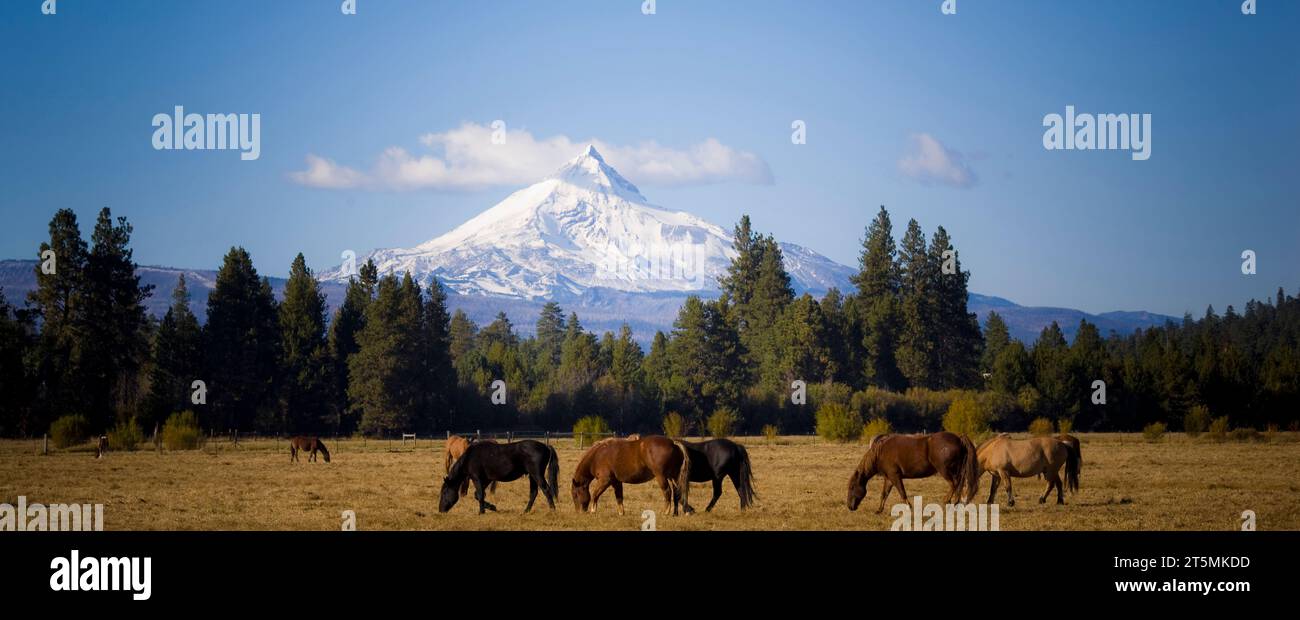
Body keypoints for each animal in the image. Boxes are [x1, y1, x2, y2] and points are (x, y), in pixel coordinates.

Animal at [847, 432, 979, 513]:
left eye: (852, 487)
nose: (850, 506)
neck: (880, 452)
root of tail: (959, 439)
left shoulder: (895, 476)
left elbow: (902, 492)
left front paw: (909, 507)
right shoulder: (889, 478)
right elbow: (884, 494)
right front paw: (879, 510)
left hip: (944, 470)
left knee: (954, 484)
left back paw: (946, 501)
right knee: (958, 485)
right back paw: (955, 503)